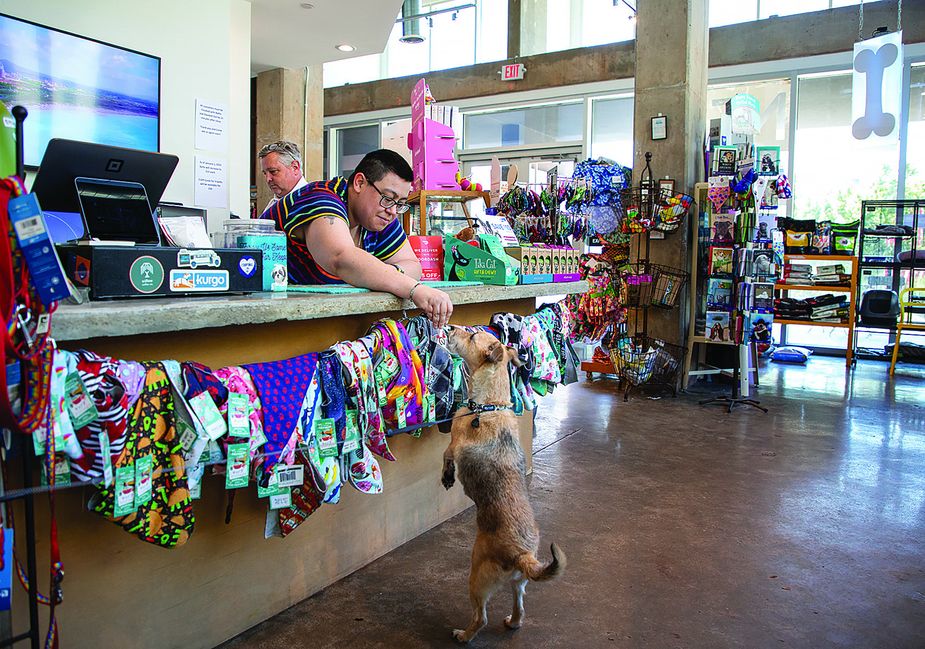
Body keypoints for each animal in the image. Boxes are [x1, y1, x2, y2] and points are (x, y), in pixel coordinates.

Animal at [440, 326, 564, 640]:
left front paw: (447, 476)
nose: (449, 327)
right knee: (520, 607)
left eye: (472, 335)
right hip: (519, 583)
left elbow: (446, 455)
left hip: (476, 577)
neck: (489, 405)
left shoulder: (455, 444)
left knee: (481, 618)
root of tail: (523, 556)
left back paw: (464, 635)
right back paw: (512, 622)